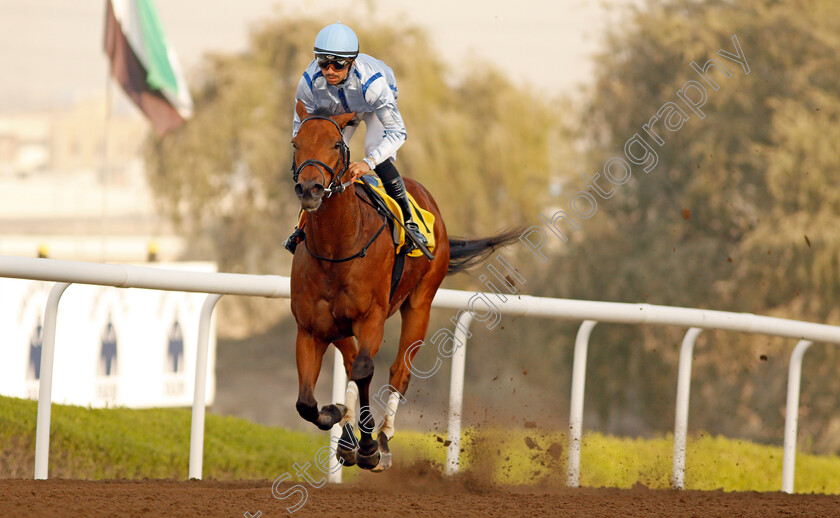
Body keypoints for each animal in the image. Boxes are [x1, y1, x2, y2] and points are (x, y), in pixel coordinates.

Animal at [292, 99, 520, 474]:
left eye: (336, 145)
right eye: (296, 143)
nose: (309, 189)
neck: (335, 247)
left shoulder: (371, 317)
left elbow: (367, 369)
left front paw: (370, 445)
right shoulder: (311, 328)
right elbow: (307, 403)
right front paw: (338, 415)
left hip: (420, 303)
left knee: (398, 371)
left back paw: (383, 438)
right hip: (340, 326)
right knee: (351, 361)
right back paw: (347, 435)